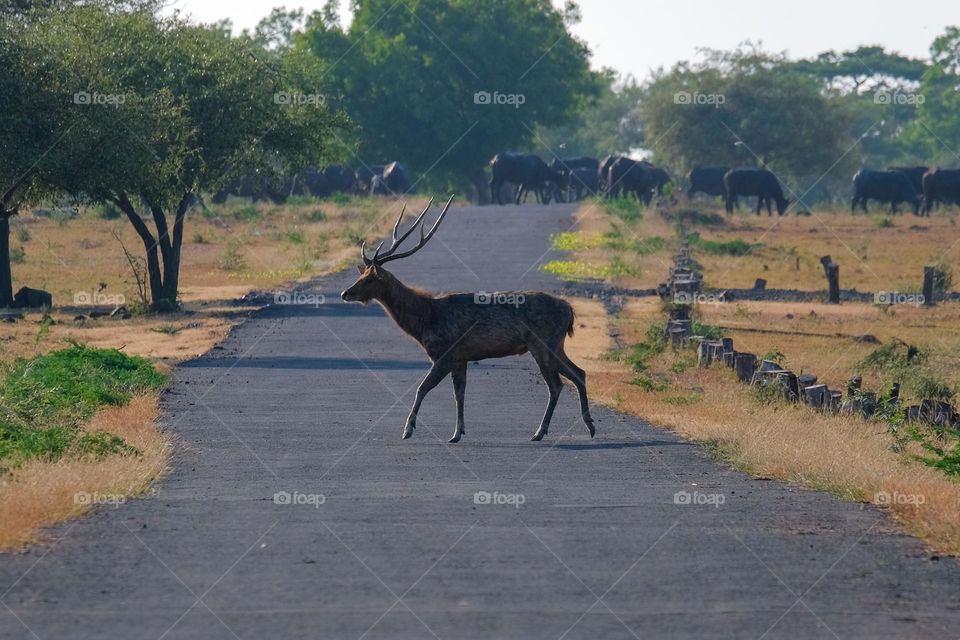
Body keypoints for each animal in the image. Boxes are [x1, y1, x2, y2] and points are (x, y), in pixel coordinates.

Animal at [338, 196, 592, 444]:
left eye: (369, 279)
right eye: (361, 274)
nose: (345, 293)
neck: (424, 320)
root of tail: (569, 310)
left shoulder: (445, 353)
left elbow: (422, 388)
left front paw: (408, 429)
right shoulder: (461, 358)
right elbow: (459, 394)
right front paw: (457, 433)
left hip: (542, 344)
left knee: (556, 385)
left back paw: (540, 431)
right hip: (556, 345)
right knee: (579, 373)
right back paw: (589, 426)